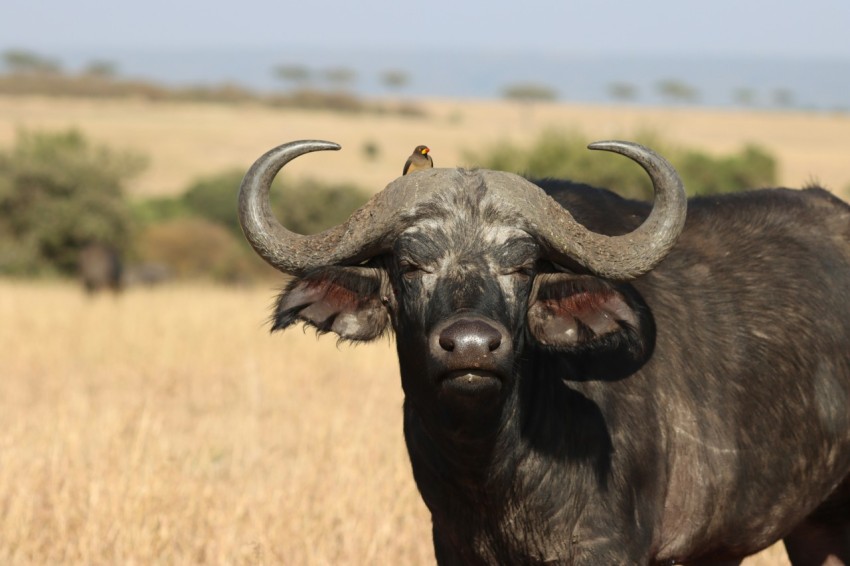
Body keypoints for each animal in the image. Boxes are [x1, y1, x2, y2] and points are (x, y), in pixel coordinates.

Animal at [238, 140, 850, 565]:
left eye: (523, 267)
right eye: (410, 265)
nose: (471, 345)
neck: (495, 467)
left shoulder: (605, 549)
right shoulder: (453, 545)